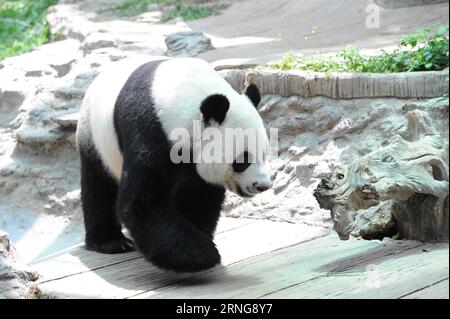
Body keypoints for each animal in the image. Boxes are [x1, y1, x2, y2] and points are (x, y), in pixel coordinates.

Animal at [75, 57, 270, 272]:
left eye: (264, 154)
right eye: (242, 161)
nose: (262, 185)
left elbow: (199, 196)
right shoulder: (149, 131)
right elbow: (144, 203)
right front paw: (202, 255)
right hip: (94, 137)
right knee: (98, 186)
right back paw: (111, 241)